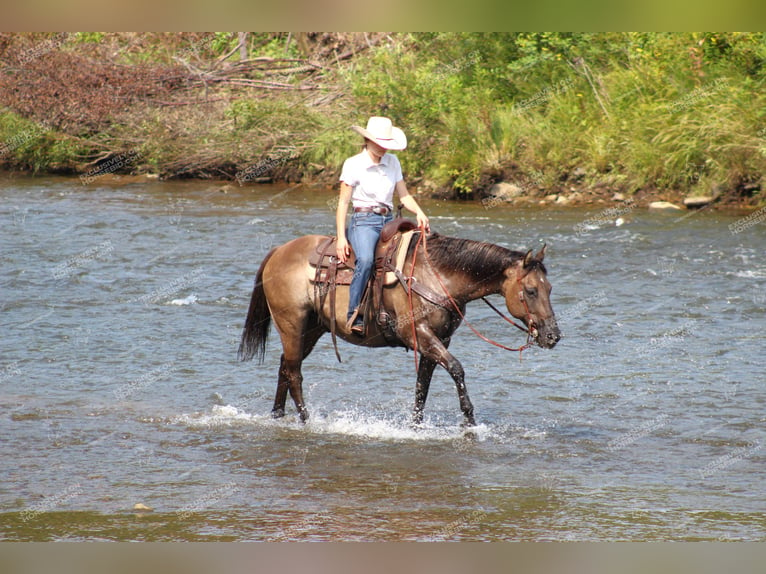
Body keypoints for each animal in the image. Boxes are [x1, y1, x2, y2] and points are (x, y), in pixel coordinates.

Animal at [240, 230, 564, 428]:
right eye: (531, 290)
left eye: (549, 288)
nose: (553, 336)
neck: (436, 275)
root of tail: (278, 251)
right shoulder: (418, 333)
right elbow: (457, 369)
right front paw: (470, 422)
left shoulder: (438, 339)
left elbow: (423, 385)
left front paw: (415, 426)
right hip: (292, 325)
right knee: (294, 373)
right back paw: (307, 421)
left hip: (311, 330)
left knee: (285, 366)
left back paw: (277, 415)